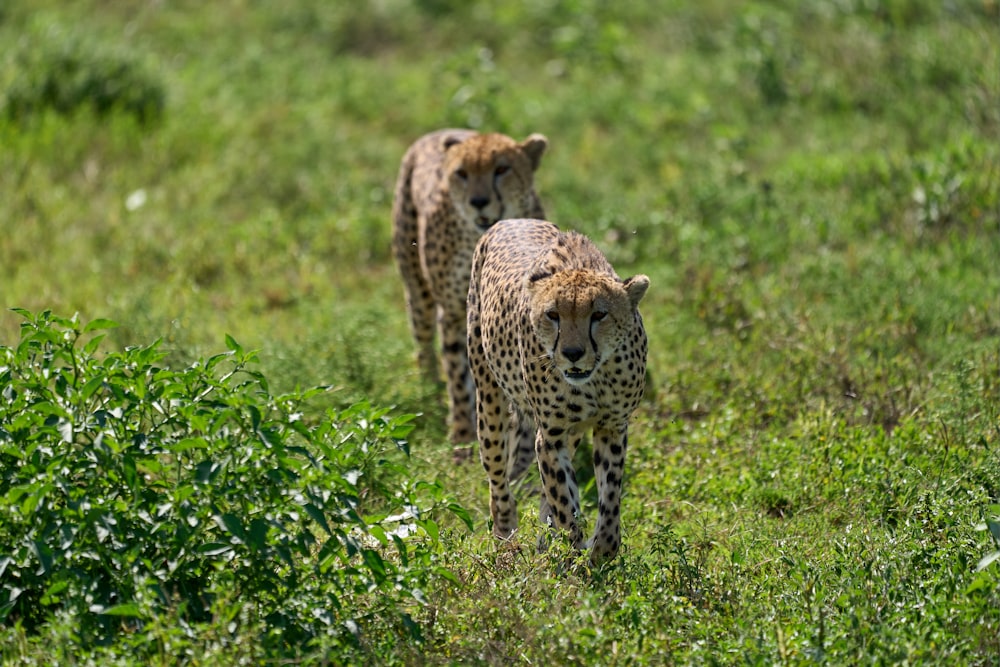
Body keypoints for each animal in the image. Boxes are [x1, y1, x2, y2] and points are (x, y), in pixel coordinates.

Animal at [390, 129, 548, 446]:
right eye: (462, 173)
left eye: (501, 169)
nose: (478, 201)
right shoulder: (453, 313)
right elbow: (456, 374)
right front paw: (462, 433)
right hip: (419, 294)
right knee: (424, 347)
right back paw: (431, 394)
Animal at [466, 219, 648, 564]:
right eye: (553, 315)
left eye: (599, 314)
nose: (573, 353)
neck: (594, 379)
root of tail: (511, 220)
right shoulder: (551, 435)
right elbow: (564, 501)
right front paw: (574, 553)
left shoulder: (612, 427)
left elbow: (609, 496)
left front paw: (600, 550)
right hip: (489, 400)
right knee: (498, 479)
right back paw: (506, 536)